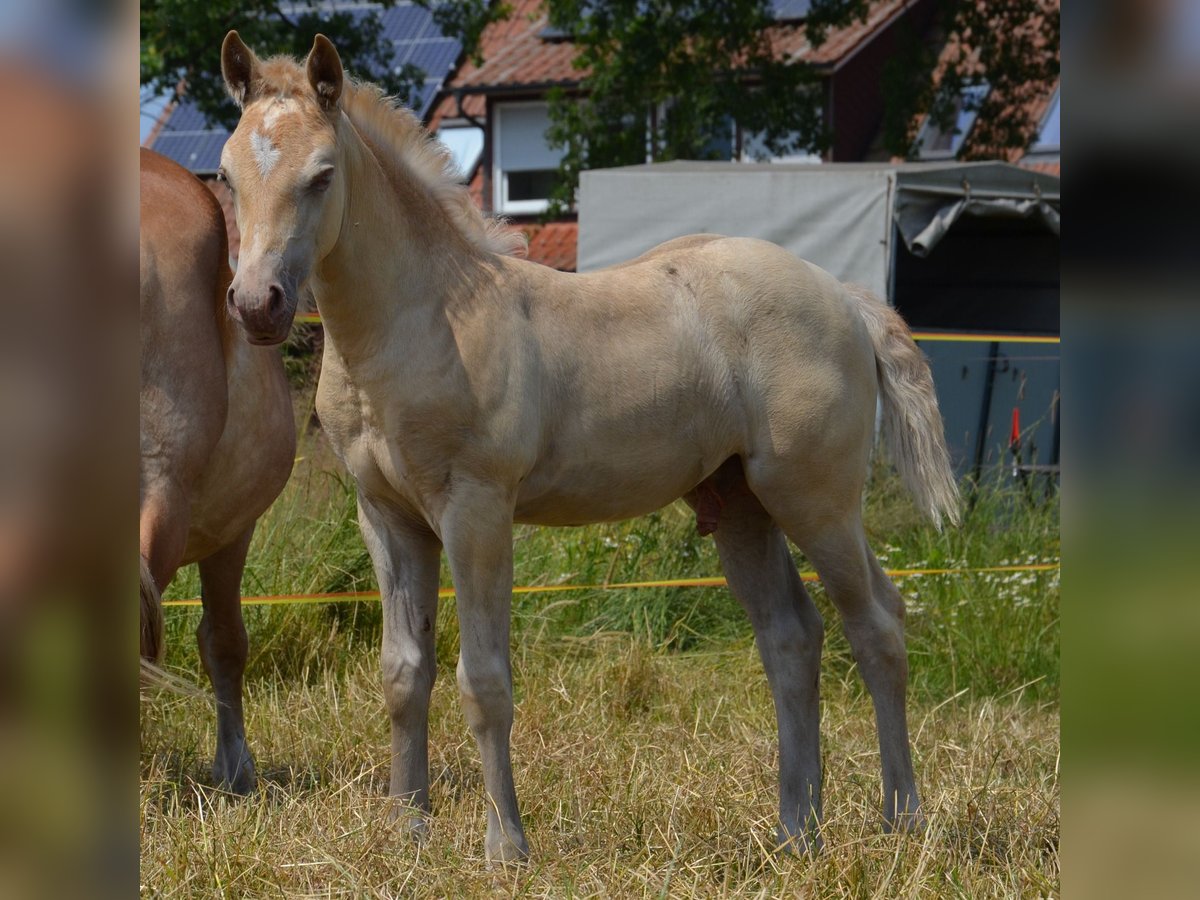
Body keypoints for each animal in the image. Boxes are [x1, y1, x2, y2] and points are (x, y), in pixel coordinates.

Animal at [220, 33, 960, 859]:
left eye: (321, 175)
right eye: (227, 173)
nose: (256, 305)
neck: (424, 318)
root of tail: (847, 299)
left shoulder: (477, 512)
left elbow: (485, 681)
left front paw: (505, 846)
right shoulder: (387, 516)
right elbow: (403, 674)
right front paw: (406, 830)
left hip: (816, 500)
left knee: (878, 626)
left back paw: (903, 819)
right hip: (740, 505)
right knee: (792, 640)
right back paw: (796, 830)